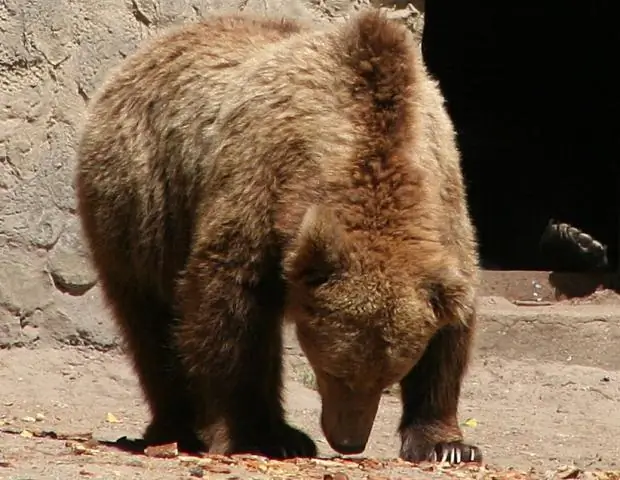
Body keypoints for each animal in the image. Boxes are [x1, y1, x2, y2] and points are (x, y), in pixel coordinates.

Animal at [75, 8, 482, 464]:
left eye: (388, 376)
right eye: (334, 371)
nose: (349, 442)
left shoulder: (446, 209)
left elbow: (450, 335)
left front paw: (447, 445)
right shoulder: (260, 181)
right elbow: (230, 308)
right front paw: (257, 433)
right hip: (143, 200)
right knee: (152, 324)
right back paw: (182, 427)